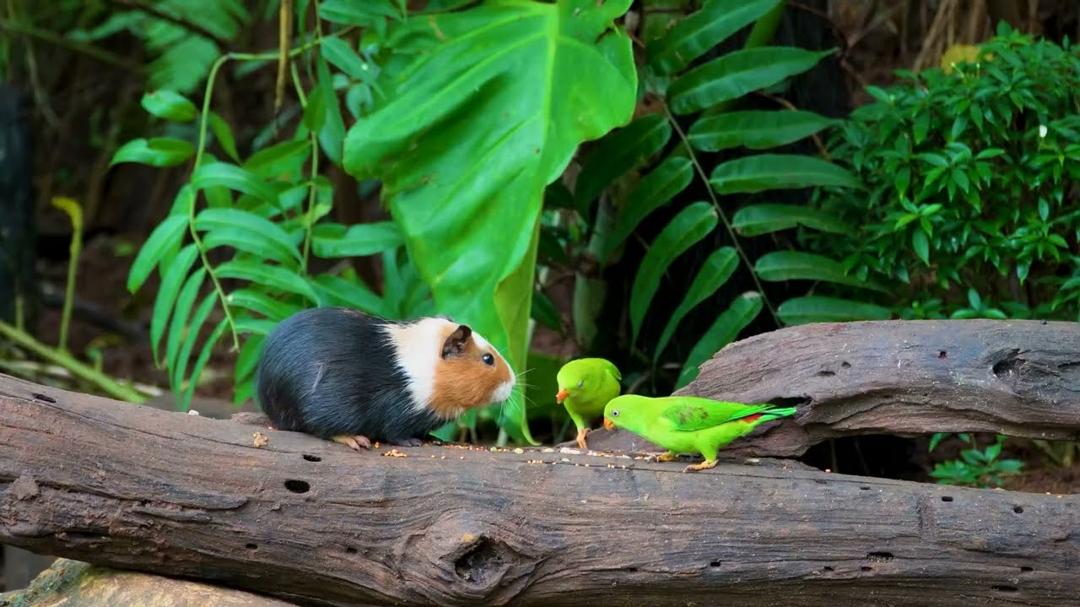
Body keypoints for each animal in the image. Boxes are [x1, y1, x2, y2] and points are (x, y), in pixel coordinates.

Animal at [255, 307, 515, 450]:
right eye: (488, 359)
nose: (512, 382)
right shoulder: (397, 412)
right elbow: (395, 432)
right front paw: (413, 443)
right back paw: (358, 441)